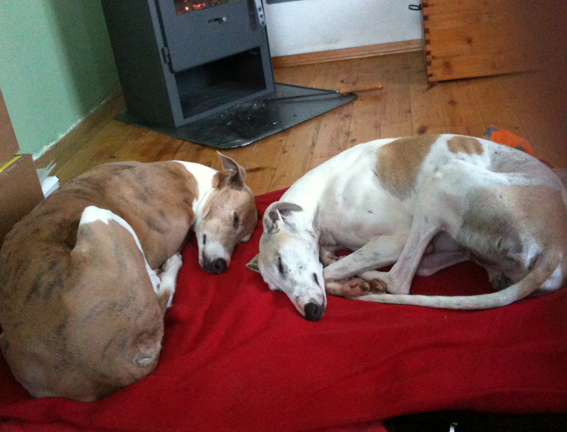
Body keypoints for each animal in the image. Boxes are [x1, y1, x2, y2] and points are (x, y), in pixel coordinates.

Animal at [0, 153, 258, 401]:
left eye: (244, 241)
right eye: (235, 218)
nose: (220, 267)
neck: (192, 182)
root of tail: (111, 370)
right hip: (96, 213)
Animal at [247, 135, 567, 321]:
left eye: (281, 264)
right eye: (274, 289)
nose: (311, 313)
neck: (318, 197)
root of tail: (556, 244)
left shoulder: (395, 239)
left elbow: (327, 273)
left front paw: (346, 281)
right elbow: (330, 264)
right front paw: (342, 271)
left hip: (443, 181)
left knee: (397, 280)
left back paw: (366, 280)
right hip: (460, 242)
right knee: (419, 269)